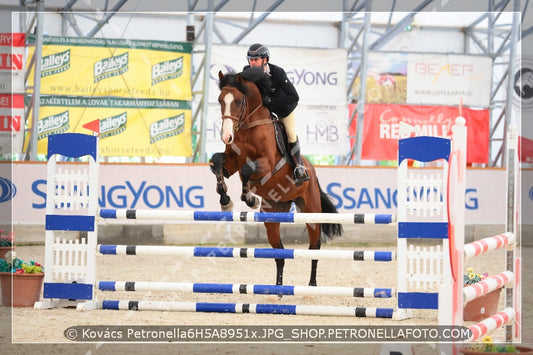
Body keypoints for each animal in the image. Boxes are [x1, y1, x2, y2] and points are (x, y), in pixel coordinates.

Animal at [208, 67, 340, 290]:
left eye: (238, 101)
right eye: (220, 100)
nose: (226, 136)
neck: (248, 127)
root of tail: (312, 171)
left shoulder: (266, 165)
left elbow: (247, 170)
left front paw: (250, 198)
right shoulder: (230, 164)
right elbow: (217, 162)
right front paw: (226, 201)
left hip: (310, 210)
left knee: (315, 246)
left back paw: (312, 285)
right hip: (273, 215)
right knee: (280, 253)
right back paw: (278, 289)